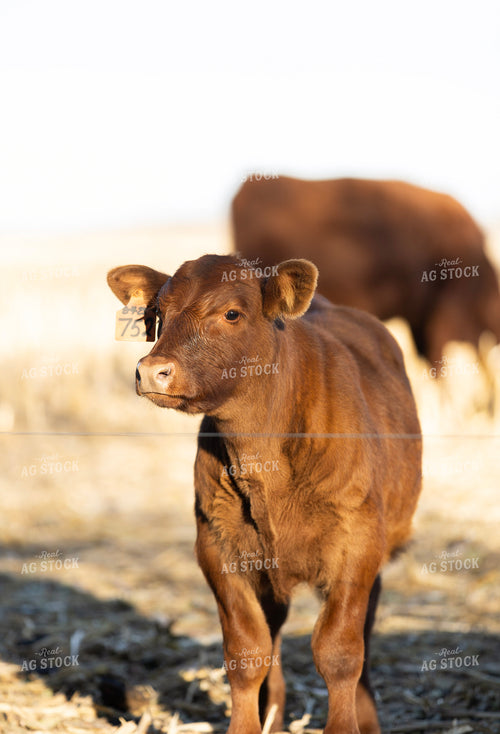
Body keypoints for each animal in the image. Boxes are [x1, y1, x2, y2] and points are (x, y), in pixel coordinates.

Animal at [107, 254, 422, 734]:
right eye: (158, 314)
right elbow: (247, 652)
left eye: (232, 313)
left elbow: (340, 651)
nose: (151, 371)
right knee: (271, 636)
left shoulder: (358, 544)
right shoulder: (217, 547)